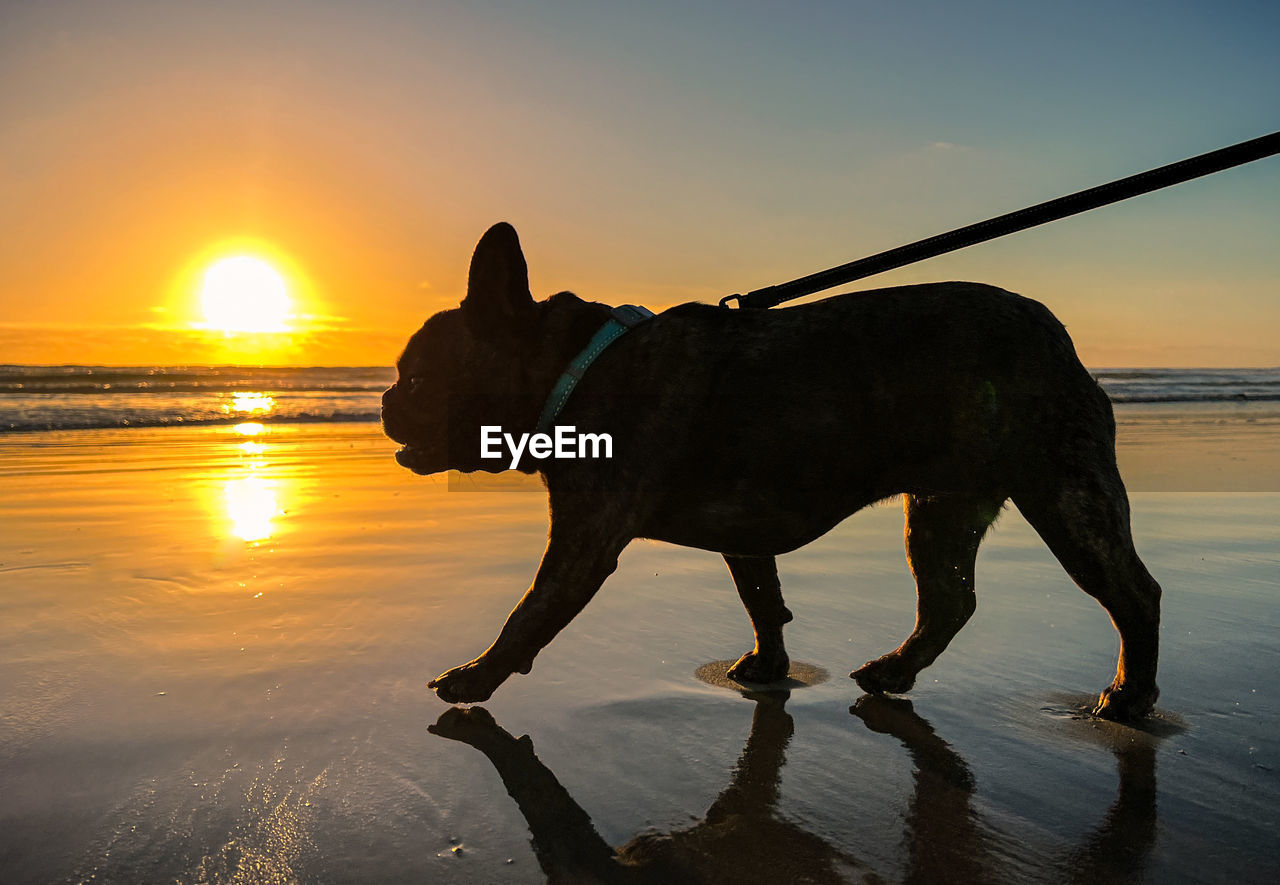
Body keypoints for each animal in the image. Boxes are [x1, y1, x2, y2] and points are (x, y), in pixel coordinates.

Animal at [378, 221, 1162, 722]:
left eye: (416, 379)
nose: (385, 401)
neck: (575, 369)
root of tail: (1056, 335)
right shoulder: (743, 532)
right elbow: (762, 597)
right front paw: (768, 664)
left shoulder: (584, 540)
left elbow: (531, 610)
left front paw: (477, 676)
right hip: (943, 506)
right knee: (949, 599)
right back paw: (895, 669)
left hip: (1064, 494)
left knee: (1133, 591)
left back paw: (1128, 697)